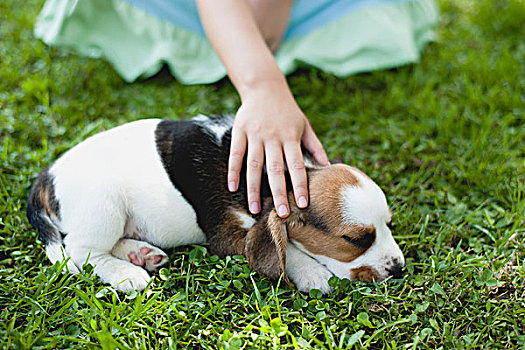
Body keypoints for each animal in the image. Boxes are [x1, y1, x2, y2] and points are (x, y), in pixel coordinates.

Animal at [26, 115, 404, 292]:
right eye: (356, 240)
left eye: (389, 225)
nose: (399, 268)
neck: (278, 177)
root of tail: (46, 175)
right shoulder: (226, 235)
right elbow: (288, 248)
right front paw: (312, 273)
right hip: (104, 204)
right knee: (80, 251)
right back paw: (126, 274)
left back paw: (141, 254)